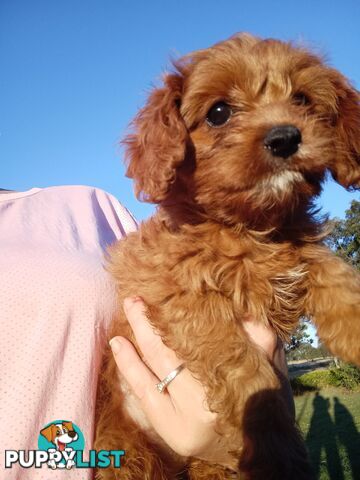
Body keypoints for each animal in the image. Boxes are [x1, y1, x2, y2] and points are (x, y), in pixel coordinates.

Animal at [95, 31, 360, 478]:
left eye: (303, 99)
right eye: (218, 113)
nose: (285, 137)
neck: (252, 228)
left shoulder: (299, 253)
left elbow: (336, 275)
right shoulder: (187, 302)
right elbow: (249, 374)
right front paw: (277, 453)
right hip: (127, 455)